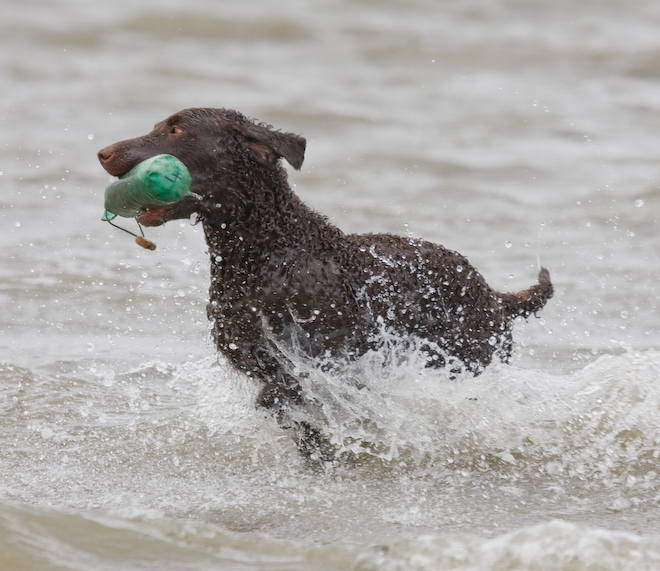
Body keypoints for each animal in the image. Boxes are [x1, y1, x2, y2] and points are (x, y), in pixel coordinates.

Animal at [98, 106, 552, 456]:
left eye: (176, 130)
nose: (103, 152)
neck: (268, 251)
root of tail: (495, 296)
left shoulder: (331, 361)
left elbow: (288, 396)